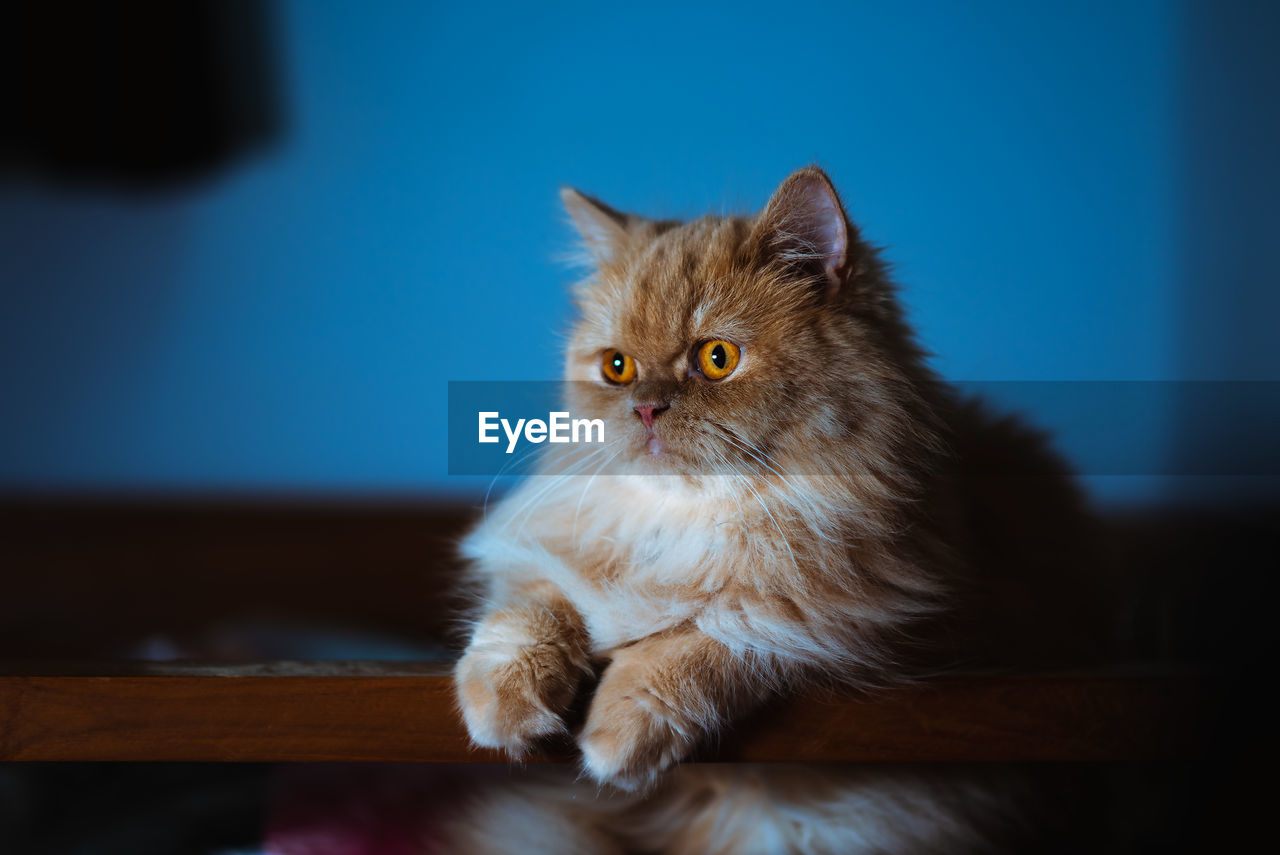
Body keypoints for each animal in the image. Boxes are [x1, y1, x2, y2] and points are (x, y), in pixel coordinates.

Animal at [450, 165, 1111, 849]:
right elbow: (528, 613)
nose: (645, 408)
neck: (692, 526)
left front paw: (619, 734)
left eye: (716, 359)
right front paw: (503, 705)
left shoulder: (864, 619)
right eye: (617, 368)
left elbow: (717, 637)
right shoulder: (555, 552)